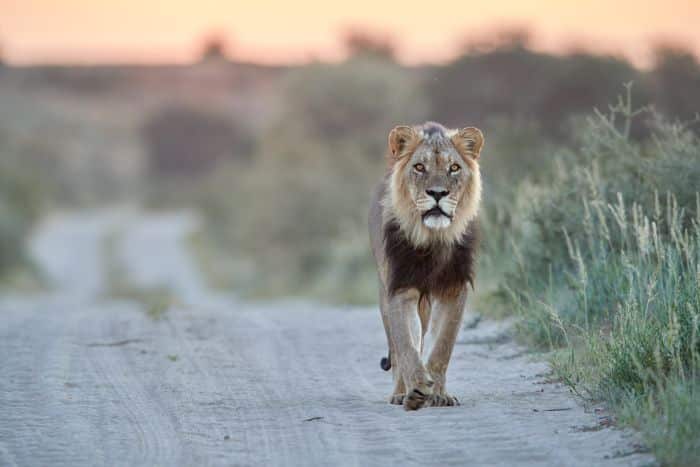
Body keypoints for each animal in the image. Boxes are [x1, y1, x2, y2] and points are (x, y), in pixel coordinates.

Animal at [369, 121, 483, 411]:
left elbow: (443, 346)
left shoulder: (454, 289)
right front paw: (417, 388)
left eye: (454, 168)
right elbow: (407, 345)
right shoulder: (400, 289)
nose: (438, 193)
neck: (434, 238)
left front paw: (439, 394)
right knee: (399, 348)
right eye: (419, 167)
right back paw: (401, 392)